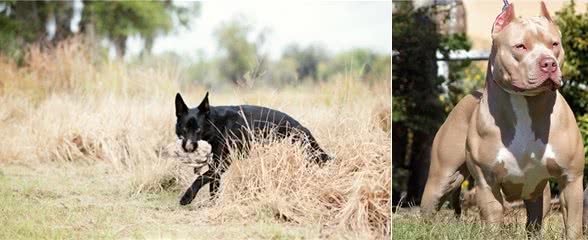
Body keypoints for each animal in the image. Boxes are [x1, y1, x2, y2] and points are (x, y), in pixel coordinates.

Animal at [175, 92, 330, 204]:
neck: (216, 124)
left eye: (198, 130)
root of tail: (301, 127)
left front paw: (187, 197)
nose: (188, 148)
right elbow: (213, 187)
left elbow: (200, 178)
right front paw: (213, 205)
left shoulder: (222, 164)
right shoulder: (216, 165)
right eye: (184, 129)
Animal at [420, 1, 584, 238]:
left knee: (534, 220)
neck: (526, 104)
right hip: (442, 178)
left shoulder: (570, 179)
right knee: (429, 209)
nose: (549, 64)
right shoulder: (487, 183)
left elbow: (572, 226)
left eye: (554, 44)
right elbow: (492, 221)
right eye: (520, 46)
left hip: (538, 193)